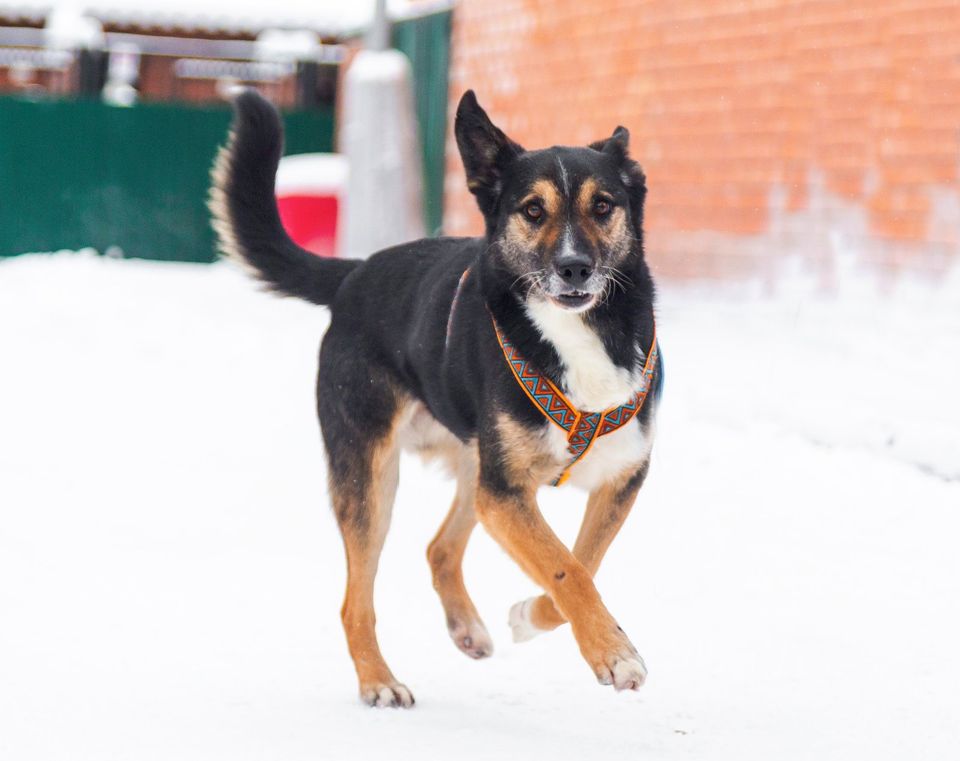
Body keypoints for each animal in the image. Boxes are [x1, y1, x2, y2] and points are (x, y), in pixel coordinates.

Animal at [208, 89, 660, 708]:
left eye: (604, 205)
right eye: (532, 210)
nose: (575, 268)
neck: (575, 334)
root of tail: (356, 274)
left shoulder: (618, 477)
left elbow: (582, 562)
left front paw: (533, 617)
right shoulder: (506, 492)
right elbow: (566, 567)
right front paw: (613, 654)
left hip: (474, 465)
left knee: (439, 549)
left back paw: (466, 628)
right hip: (374, 476)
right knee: (355, 600)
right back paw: (378, 680)